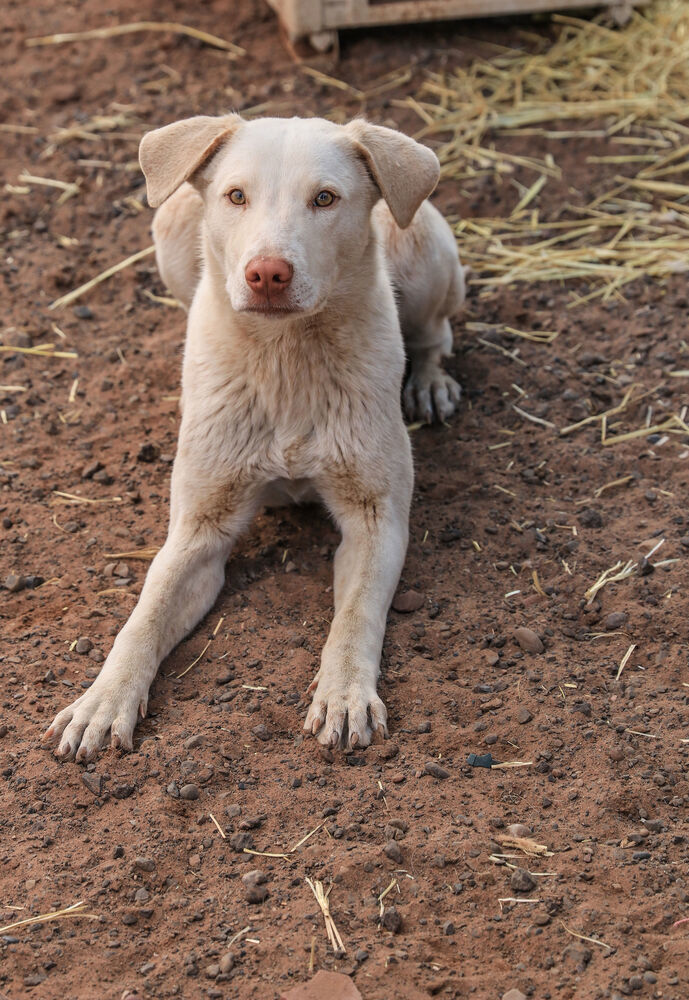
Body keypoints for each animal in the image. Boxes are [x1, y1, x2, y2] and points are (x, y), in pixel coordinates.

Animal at [41, 113, 462, 760]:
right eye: (236, 196)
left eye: (325, 199)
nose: (267, 273)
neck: (284, 357)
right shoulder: (198, 529)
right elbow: (143, 616)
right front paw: (101, 702)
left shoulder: (376, 518)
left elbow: (355, 616)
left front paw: (344, 695)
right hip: (170, 226)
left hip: (419, 251)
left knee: (437, 330)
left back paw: (431, 382)